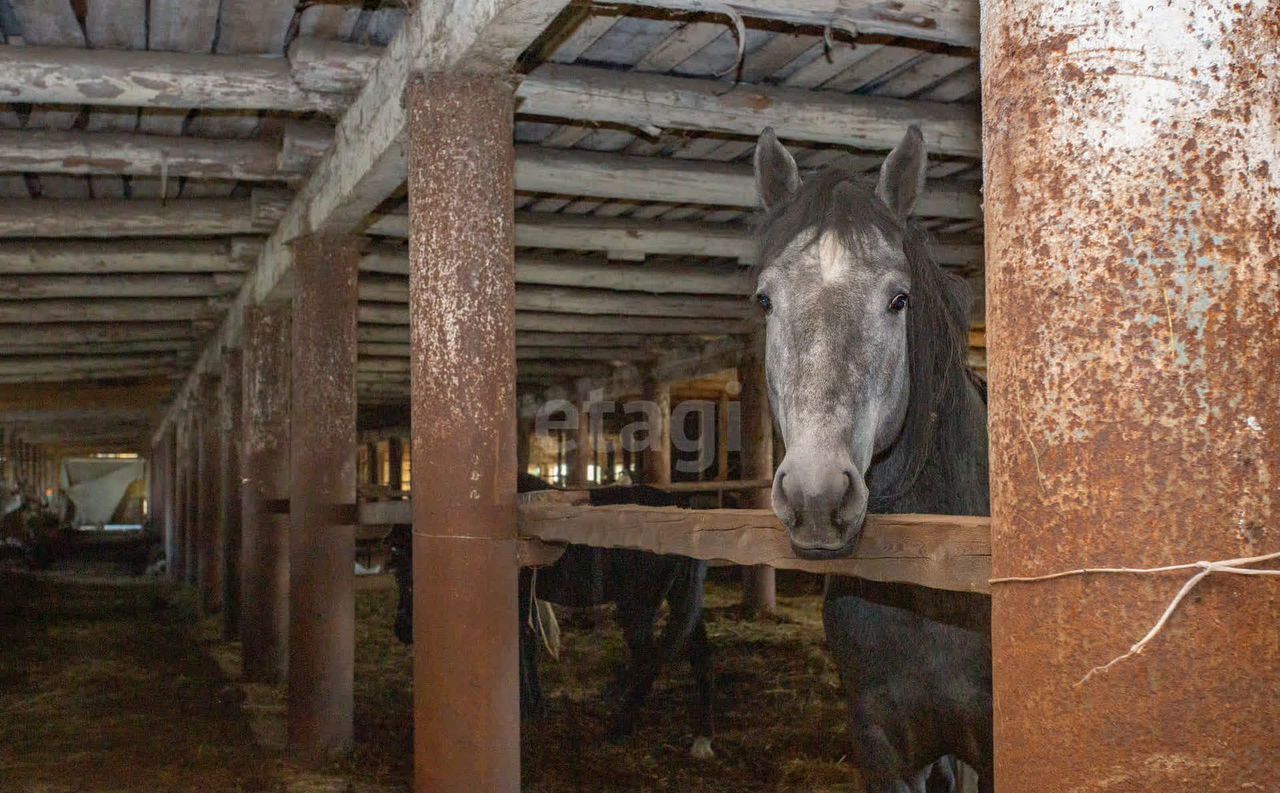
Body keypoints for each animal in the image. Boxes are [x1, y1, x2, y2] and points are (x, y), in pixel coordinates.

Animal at [384, 473, 716, 757]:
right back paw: (702, 737)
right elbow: (529, 643)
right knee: (699, 653)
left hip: (638, 606)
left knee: (649, 657)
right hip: (680, 598)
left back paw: (620, 724)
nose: (402, 630)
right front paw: (535, 705)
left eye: (409, 574)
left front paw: (525, 706)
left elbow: (521, 642)